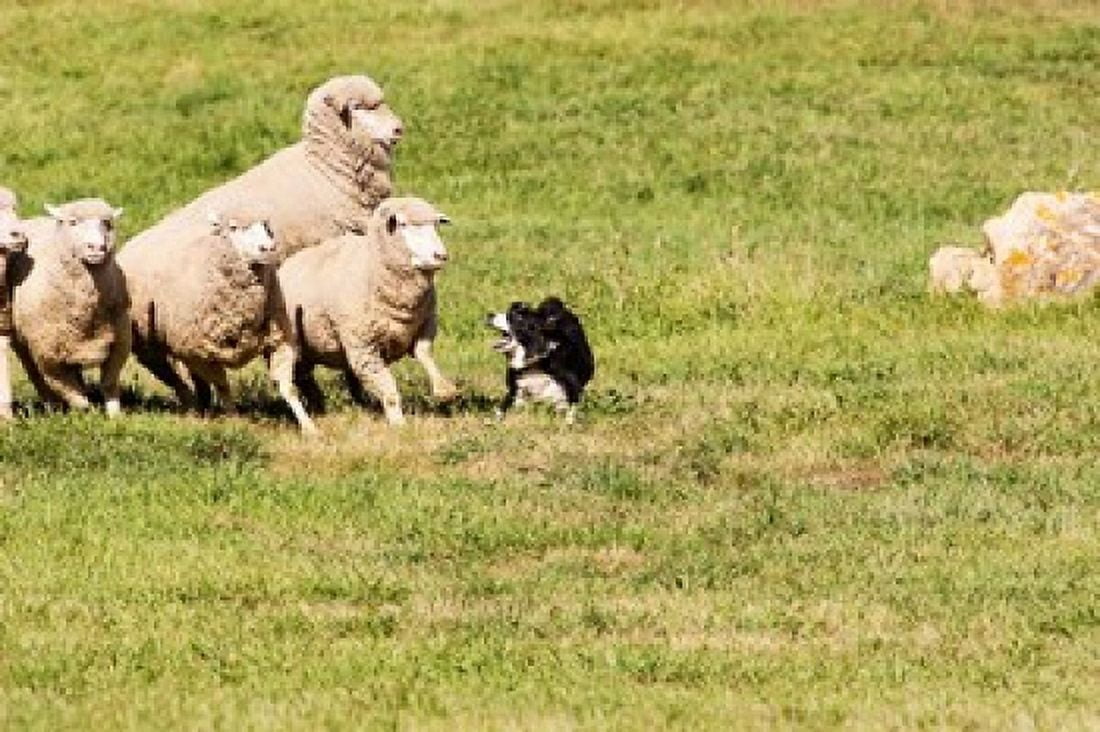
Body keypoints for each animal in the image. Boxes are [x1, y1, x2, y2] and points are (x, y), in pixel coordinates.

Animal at [7, 199, 130, 416]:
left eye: (107, 223)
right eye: (72, 222)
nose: (97, 247)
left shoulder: (120, 341)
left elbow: (109, 383)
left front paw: (115, 415)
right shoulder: (47, 355)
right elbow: (71, 392)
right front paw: (87, 413)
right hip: (25, 343)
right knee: (37, 377)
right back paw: (52, 409)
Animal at [118, 200, 317, 434]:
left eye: (266, 227)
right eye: (233, 227)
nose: (267, 248)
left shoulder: (279, 338)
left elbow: (287, 386)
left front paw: (309, 427)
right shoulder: (202, 353)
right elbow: (223, 387)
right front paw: (235, 421)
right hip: (152, 346)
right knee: (171, 376)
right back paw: (193, 406)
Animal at [278, 197, 457, 426]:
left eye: (436, 225)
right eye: (403, 224)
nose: (441, 255)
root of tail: (286, 264)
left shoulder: (425, 325)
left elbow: (424, 354)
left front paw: (444, 389)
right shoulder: (364, 347)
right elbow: (389, 390)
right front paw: (399, 424)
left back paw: (349, 405)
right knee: (303, 376)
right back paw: (320, 408)